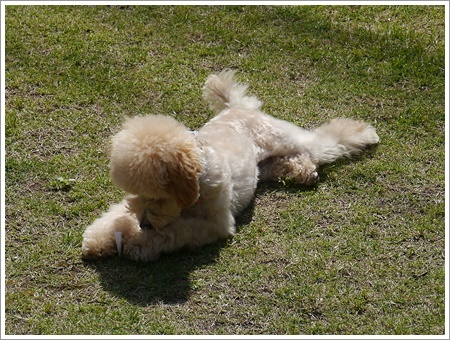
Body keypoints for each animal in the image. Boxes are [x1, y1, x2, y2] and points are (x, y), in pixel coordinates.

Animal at [81, 69, 380, 262]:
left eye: (157, 195)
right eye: (134, 192)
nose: (143, 223)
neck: (199, 179)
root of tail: (237, 107)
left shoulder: (216, 223)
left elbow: (173, 232)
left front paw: (138, 243)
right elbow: (114, 214)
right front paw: (98, 238)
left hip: (284, 137)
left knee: (325, 141)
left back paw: (364, 133)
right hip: (263, 166)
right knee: (285, 165)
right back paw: (303, 172)